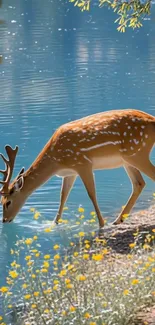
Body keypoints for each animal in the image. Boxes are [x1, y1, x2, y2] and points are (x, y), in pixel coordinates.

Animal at [0, 109, 155, 225]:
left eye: (8, 202)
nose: (5, 220)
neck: (56, 161)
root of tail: (152, 120)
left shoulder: (82, 163)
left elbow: (91, 194)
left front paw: (101, 224)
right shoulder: (70, 172)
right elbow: (63, 196)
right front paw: (54, 224)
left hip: (137, 153)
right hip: (127, 160)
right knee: (139, 183)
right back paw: (118, 220)